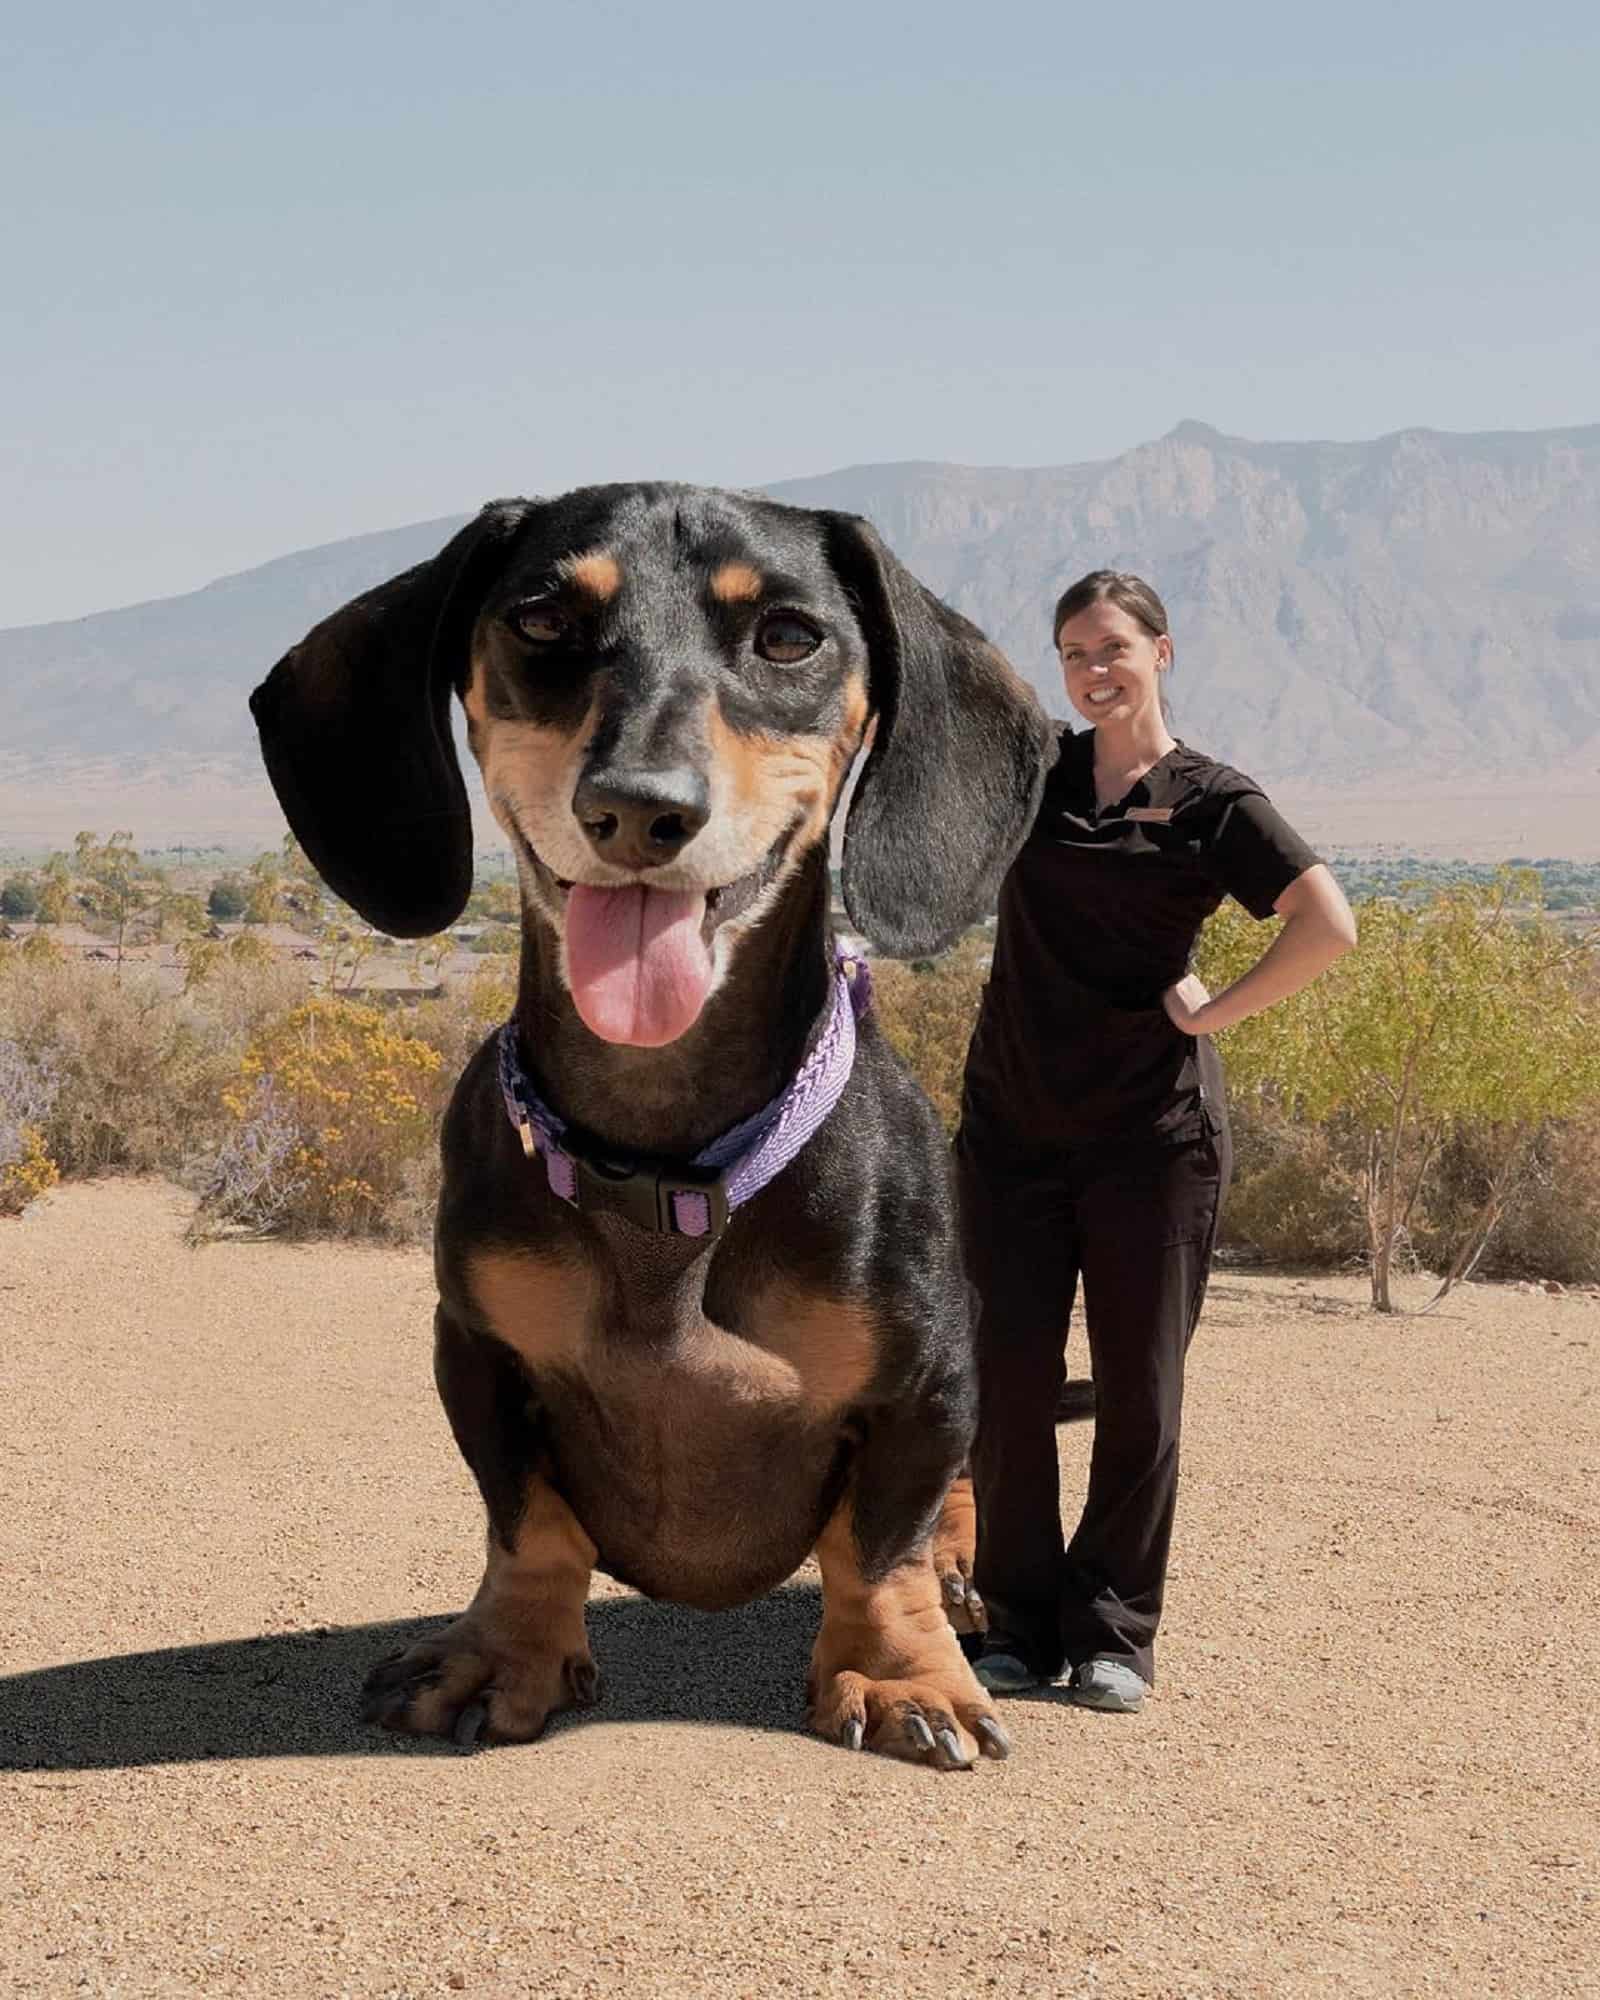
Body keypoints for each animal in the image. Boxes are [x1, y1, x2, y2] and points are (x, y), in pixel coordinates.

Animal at [247, 484, 1048, 1768]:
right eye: (540, 618)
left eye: (787, 635)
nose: (636, 808)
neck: (665, 1163)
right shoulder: (476, 1350)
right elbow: (528, 1523)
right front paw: (502, 1655)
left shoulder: (927, 1380)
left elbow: (880, 1544)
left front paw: (898, 1675)